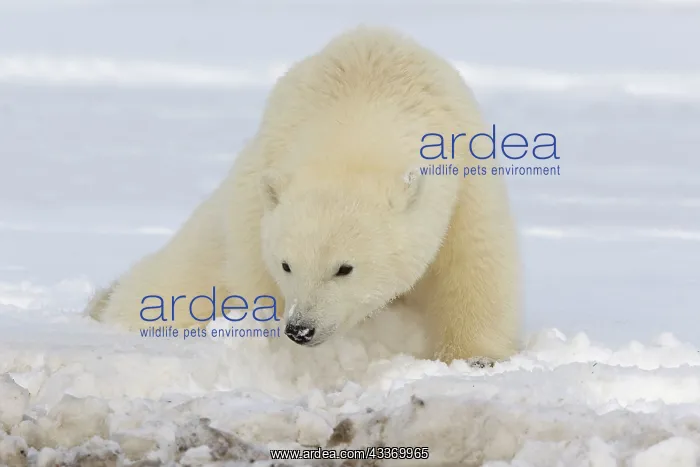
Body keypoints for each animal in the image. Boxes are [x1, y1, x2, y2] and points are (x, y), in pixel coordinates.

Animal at [86, 26, 521, 365]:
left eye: (344, 268)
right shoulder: (258, 197)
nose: (300, 329)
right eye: (286, 265)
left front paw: (476, 358)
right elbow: (255, 281)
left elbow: (475, 263)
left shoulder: (466, 176)